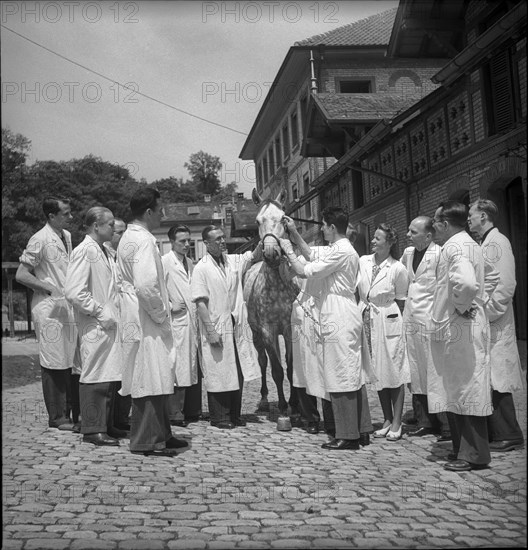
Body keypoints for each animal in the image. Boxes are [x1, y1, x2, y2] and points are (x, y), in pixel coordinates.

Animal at [243, 191, 302, 422]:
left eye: (283, 219)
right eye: (258, 221)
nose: (270, 252)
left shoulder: (289, 329)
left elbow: (290, 366)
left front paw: (295, 404)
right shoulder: (267, 330)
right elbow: (276, 369)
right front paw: (285, 406)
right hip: (257, 334)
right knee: (263, 362)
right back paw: (265, 401)